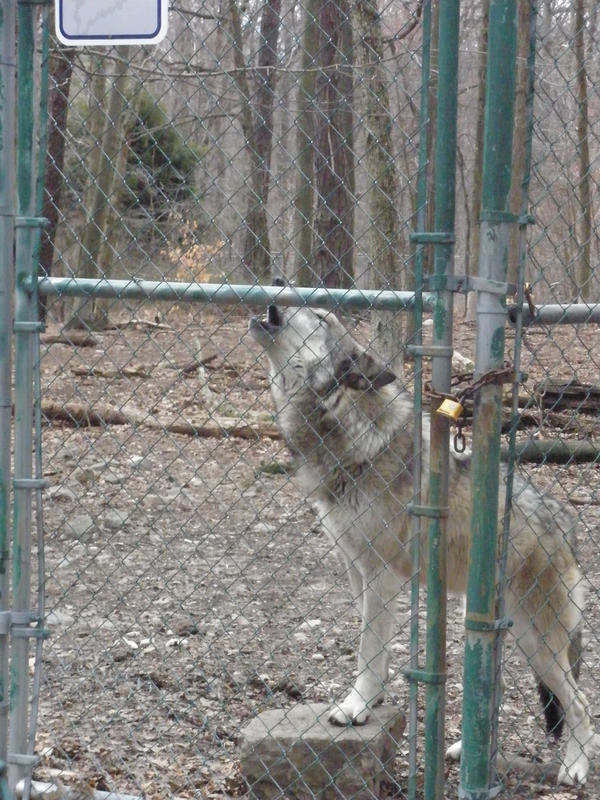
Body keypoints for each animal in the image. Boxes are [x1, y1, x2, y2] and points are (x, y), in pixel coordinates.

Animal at [249, 303, 595, 785]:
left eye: (319, 317)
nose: (275, 299)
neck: (348, 426)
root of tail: (567, 523)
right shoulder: (354, 568)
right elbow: (370, 645)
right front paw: (370, 701)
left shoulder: (380, 573)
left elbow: (369, 648)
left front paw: (355, 707)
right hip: (490, 626)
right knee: (495, 691)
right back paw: (470, 754)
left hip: (538, 641)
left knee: (579, 702)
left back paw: (575, 768)